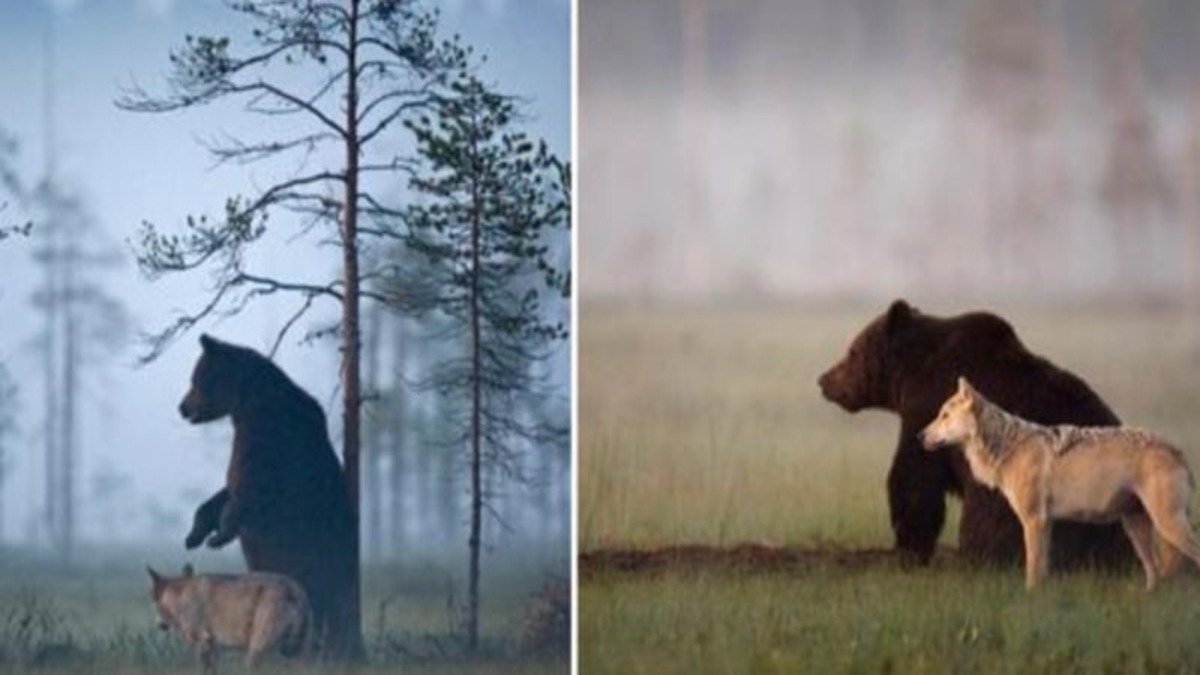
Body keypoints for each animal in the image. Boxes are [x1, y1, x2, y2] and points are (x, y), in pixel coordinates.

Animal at [816, 299, 1132, 566]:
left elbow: (914, 478)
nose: (824, 380)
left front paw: (909, 547)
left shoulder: (927, 408)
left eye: (853, 351)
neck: (910, 374)